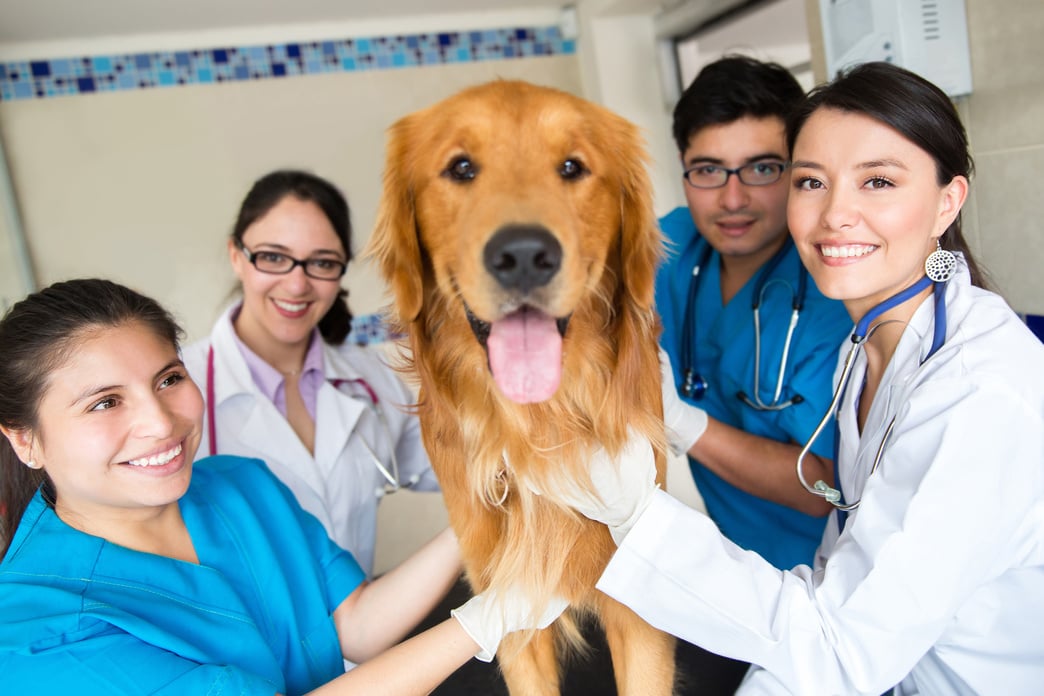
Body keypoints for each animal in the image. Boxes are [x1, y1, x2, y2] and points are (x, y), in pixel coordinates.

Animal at [367, 78, 676, 692]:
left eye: (573, 167)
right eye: (461, 167)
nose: (526, 254)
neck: (539, 423)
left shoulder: (640, 617)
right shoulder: (509, 609)